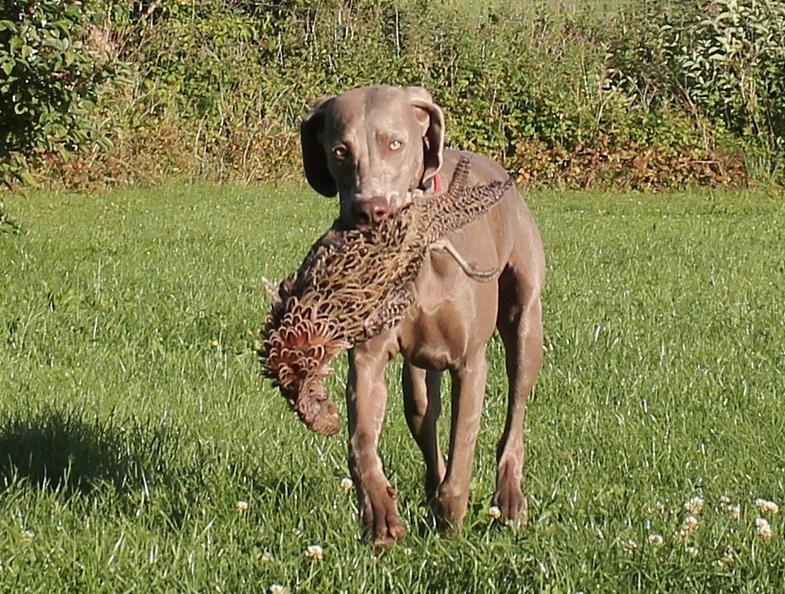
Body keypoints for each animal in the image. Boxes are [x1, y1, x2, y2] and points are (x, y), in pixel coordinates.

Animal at [298, 83, 544, 540]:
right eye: (340, 151)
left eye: (396, 143)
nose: (371, 209)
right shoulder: (368, 359)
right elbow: (360, 442)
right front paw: (380, 514)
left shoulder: (470, 362)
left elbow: (463, 443)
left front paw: (452, 518)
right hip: (418, 375)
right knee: (423, 416)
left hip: (525, 318)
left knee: (515, 412)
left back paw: (508, 499)